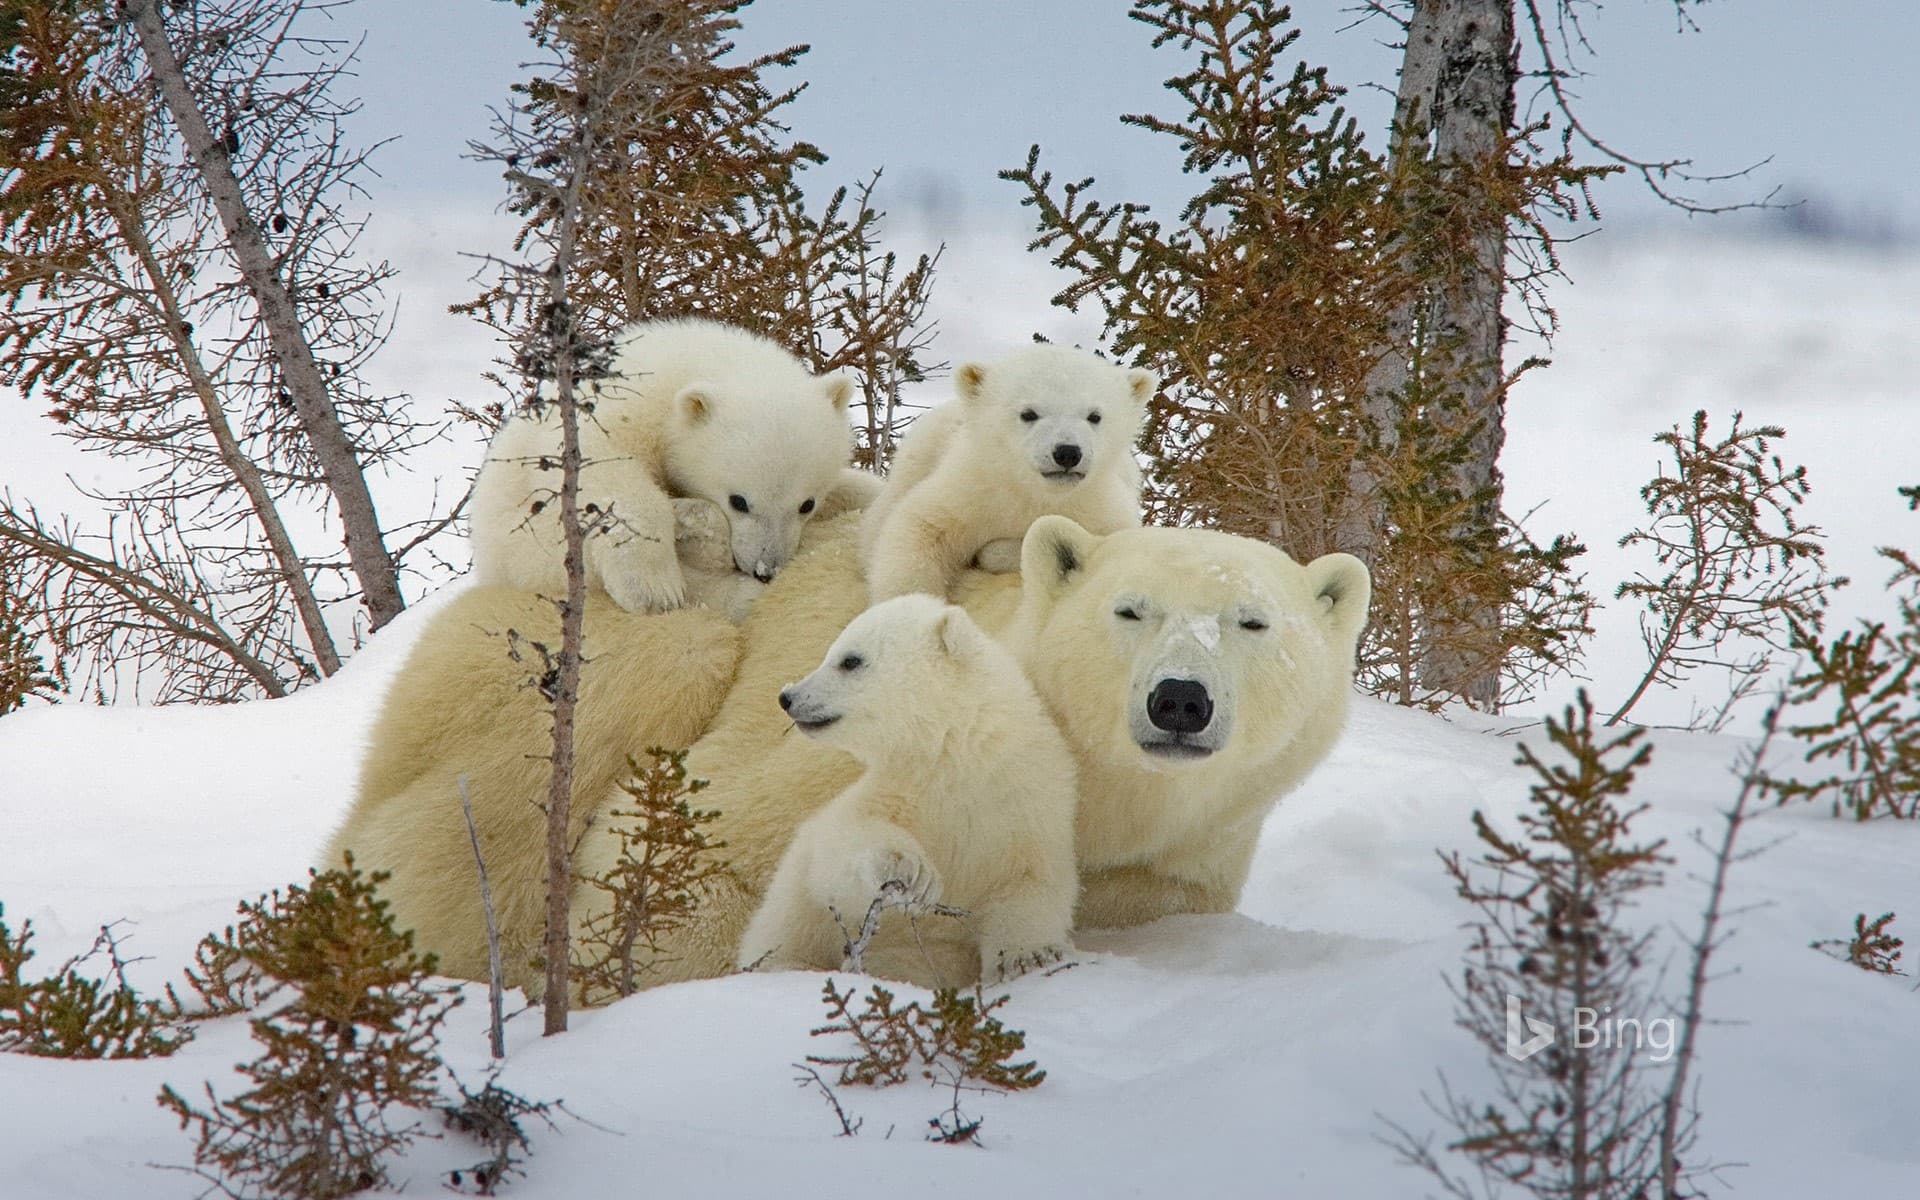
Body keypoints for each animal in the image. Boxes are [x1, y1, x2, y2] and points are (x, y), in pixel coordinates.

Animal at [468, 317, 870, 614]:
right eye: (739, 501)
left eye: (807, 504)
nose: (765, 570)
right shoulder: (611, 415)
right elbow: (604, 470)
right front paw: (653, 587)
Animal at [736, 594, 1078, 984]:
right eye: (831, 651)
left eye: (850, 660)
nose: (787, 696)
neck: (957, 756)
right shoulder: (899, 792)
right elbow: (837, 851)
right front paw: (911, 871)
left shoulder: (1028, 800)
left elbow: (1030, 880)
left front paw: (1027, 958)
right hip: (789, 918)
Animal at [860, 344, 1156, 601]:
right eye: (1028, 413)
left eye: (1094, 416)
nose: (1067, 453)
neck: (1033, 492)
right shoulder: (971, 490)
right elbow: (919, 529)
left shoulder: (1099, 509)